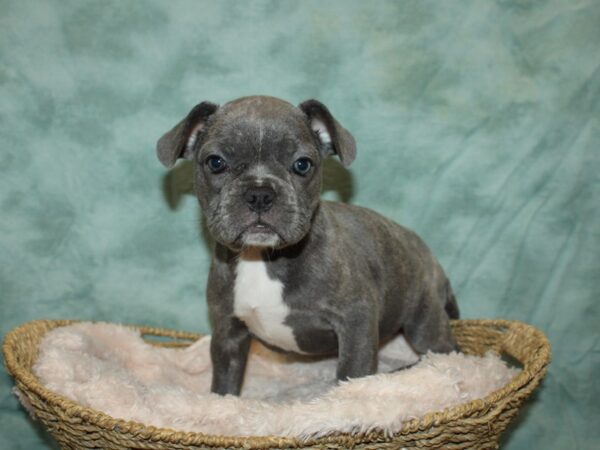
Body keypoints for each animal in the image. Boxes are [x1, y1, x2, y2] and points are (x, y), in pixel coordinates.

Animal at [156, 95, 460, 394]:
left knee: (446, 353)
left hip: (424, 321)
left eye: (302, 165)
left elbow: (352, 376)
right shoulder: (227, 334)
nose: (259, 192)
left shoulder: (356, 322)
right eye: (216, 163)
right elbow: (224, 386)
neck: (262, 258)